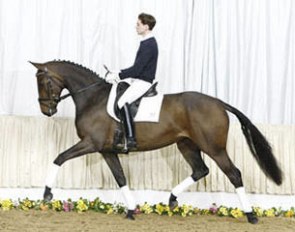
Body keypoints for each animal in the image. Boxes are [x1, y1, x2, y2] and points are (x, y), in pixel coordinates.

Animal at [30, 59, 284, 223]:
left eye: (44, 83)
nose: (46, 111)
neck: (93, 98)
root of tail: (219, 103)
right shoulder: (107, 150)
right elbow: (120, 177)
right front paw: (131, 210)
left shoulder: (91, 143)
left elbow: (59, 158)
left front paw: (47, 193)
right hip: (186, 144)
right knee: (200, 170)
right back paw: (171, 199)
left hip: (214, 147)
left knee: (234, 174)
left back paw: (250, 215)